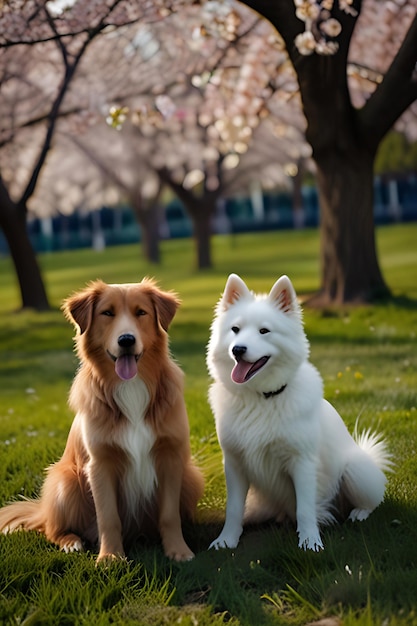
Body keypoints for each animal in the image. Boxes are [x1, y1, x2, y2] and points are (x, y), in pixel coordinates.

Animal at [0, 278, 203, 560]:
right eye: (107, 313)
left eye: (141, 312)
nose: (126, 340)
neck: (130, 387)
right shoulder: (99, 464)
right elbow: (108, 518)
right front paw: (110, 557)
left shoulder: (171, 458)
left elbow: (170, 515)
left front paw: (178, 551)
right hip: (65, 481)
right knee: (51, 529)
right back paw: (71, 542)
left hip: (192, 476)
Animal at [206, 274, 392, 552]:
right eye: (235, 330)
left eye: (264, 331)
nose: (238, 349)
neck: (261, 398)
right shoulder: (235, 464)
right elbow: (234, 509)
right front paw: (226, 540)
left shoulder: (302, 463)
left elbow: (304, 509)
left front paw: (310, 542)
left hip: (356, 471)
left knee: (371, 502)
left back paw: (357, 513)